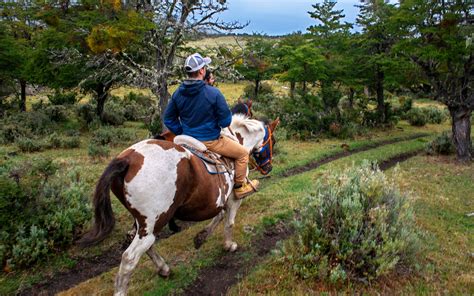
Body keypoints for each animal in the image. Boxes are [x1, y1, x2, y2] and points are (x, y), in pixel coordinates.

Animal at [77, 114, 278, 296]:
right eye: (273, 141)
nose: (268, 168)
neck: (236, 139)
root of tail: (128, 160)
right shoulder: (234, 199)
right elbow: (229, 222)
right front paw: (229, 245)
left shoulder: (219, 200)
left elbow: (220, 216)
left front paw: (201, 237)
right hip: (153, 223)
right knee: (129, 258)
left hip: (143, 223)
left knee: (144, 245)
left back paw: (164, 268)